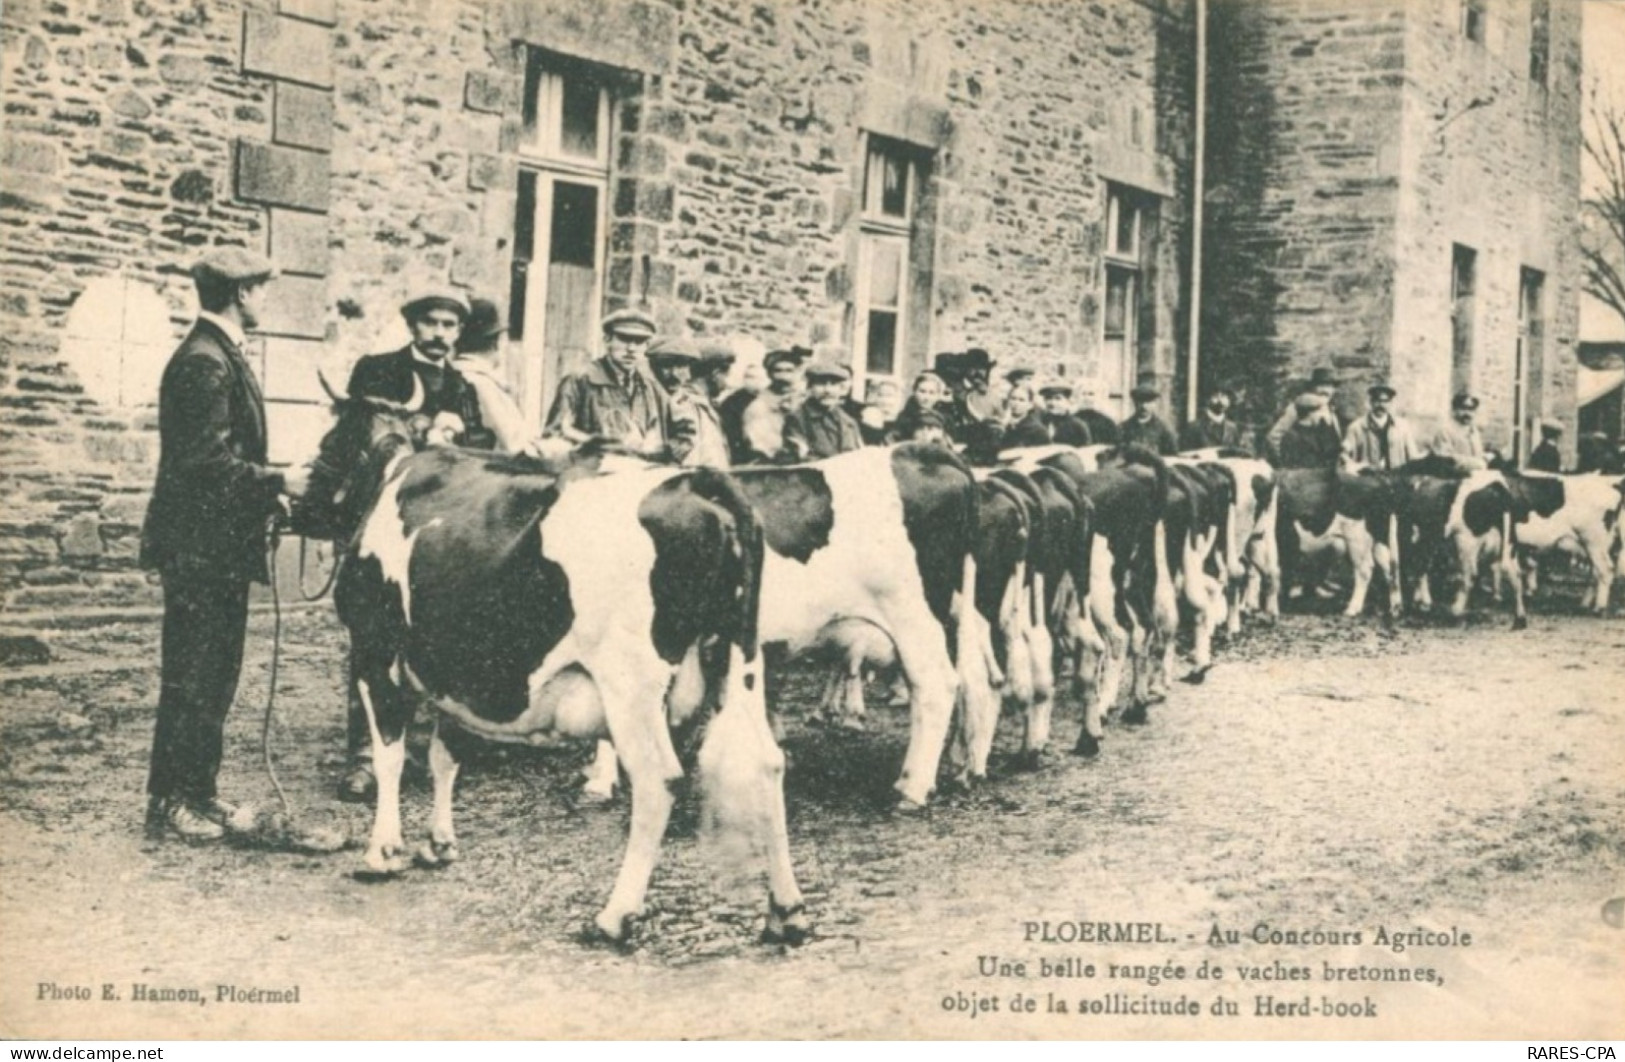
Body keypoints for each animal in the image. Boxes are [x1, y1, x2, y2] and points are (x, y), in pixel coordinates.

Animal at [307, 384, 809, 948]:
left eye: (330, 438)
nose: (296, 493)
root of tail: (699, 481)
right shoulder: (452, 671)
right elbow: (446, 755)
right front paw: (439, 843)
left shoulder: (375, 649)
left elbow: (390, 753)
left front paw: (382, 851)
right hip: (740, 663)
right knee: (766, 764)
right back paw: (786, 911)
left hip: (631, 686)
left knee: (658, 781)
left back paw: (615, 915)